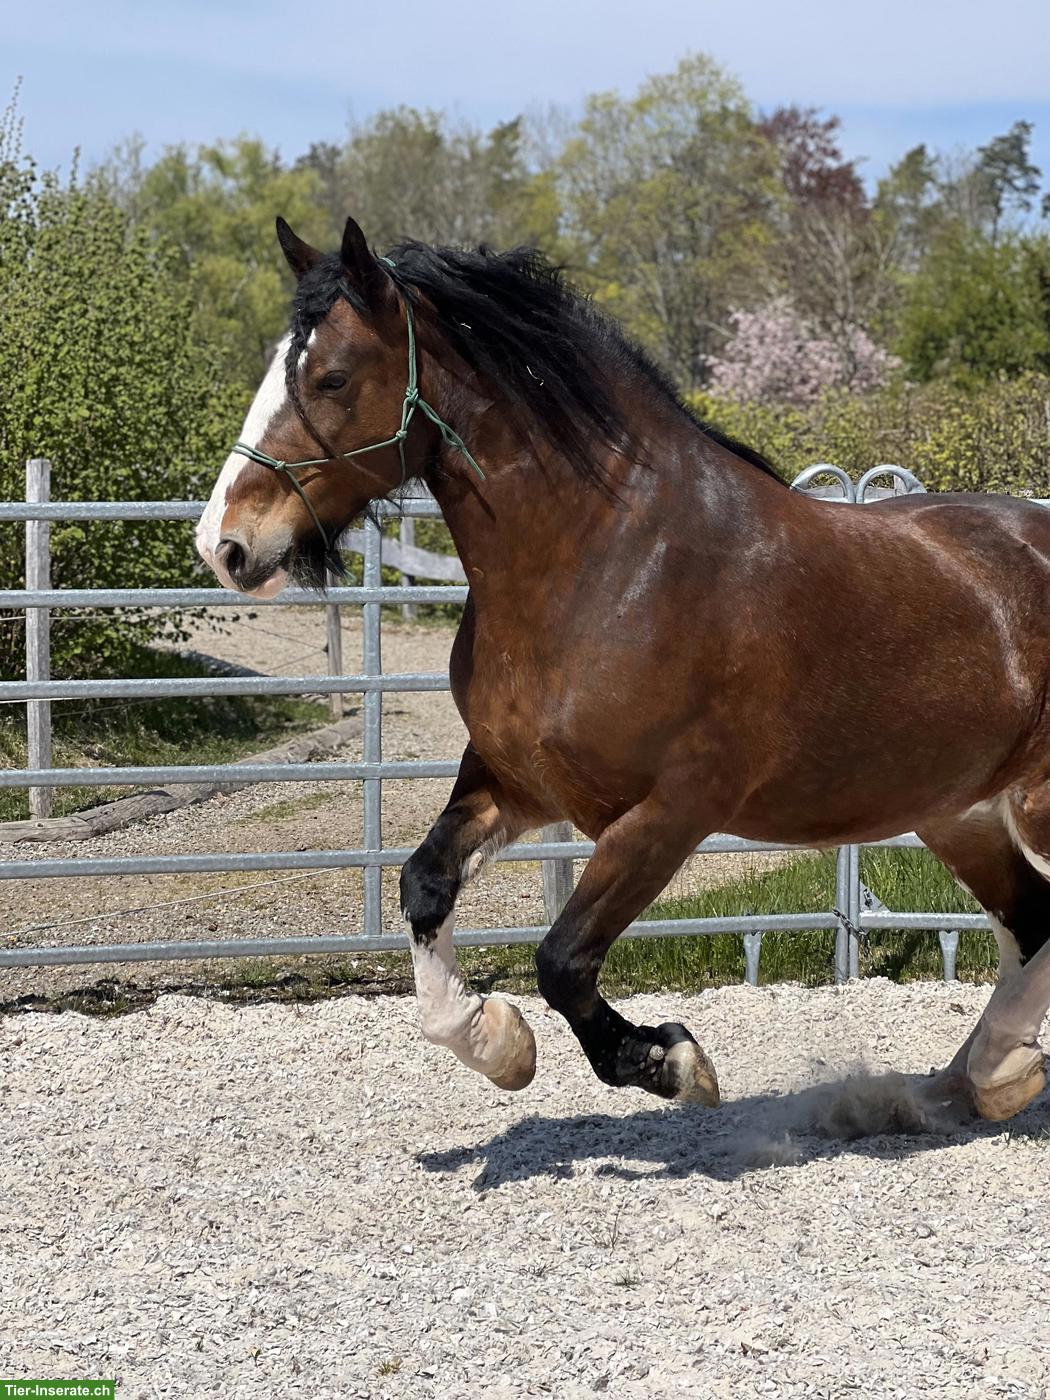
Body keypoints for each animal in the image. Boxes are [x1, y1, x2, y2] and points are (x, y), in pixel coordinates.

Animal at [197, 215, 1050, 1126]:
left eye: (331, 377)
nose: (224, 545)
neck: (614, 565)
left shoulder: (671, 812)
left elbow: (563, 960)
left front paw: (670, 1061)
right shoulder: (517, 782)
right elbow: (425, 887)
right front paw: (500, 1045)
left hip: (1028, 804)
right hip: (954, 811)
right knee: (1034, 922)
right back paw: (983, 1076)